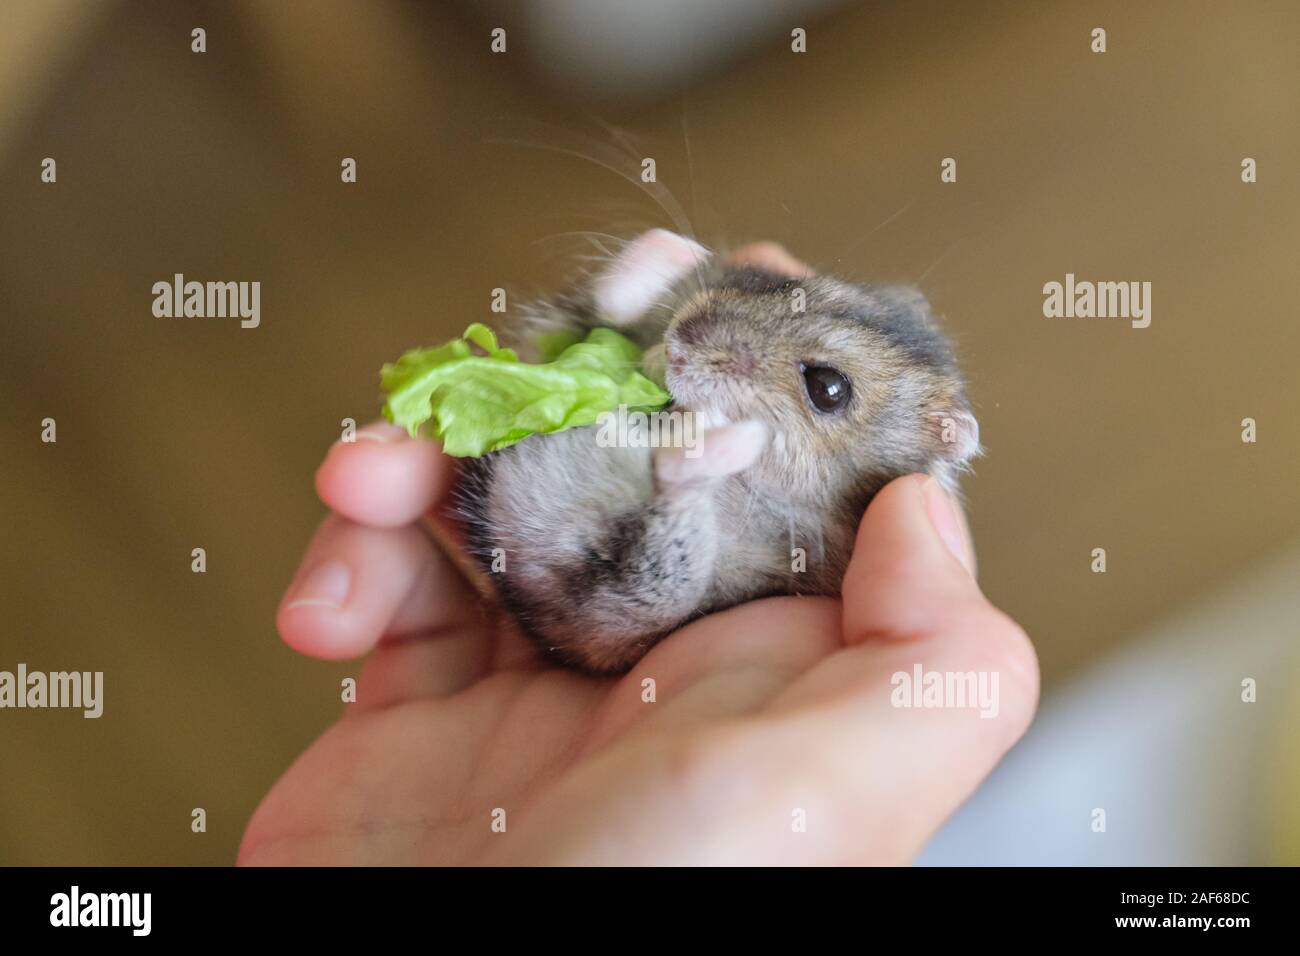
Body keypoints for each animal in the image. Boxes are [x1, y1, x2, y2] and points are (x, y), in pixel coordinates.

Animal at [457, 230, 977, 671]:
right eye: (792, 286)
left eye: (829, 389)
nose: (680, 339)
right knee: (603, 307)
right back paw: (672, 253)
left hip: (651, 594)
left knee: (667, 502)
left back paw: (714, 432)